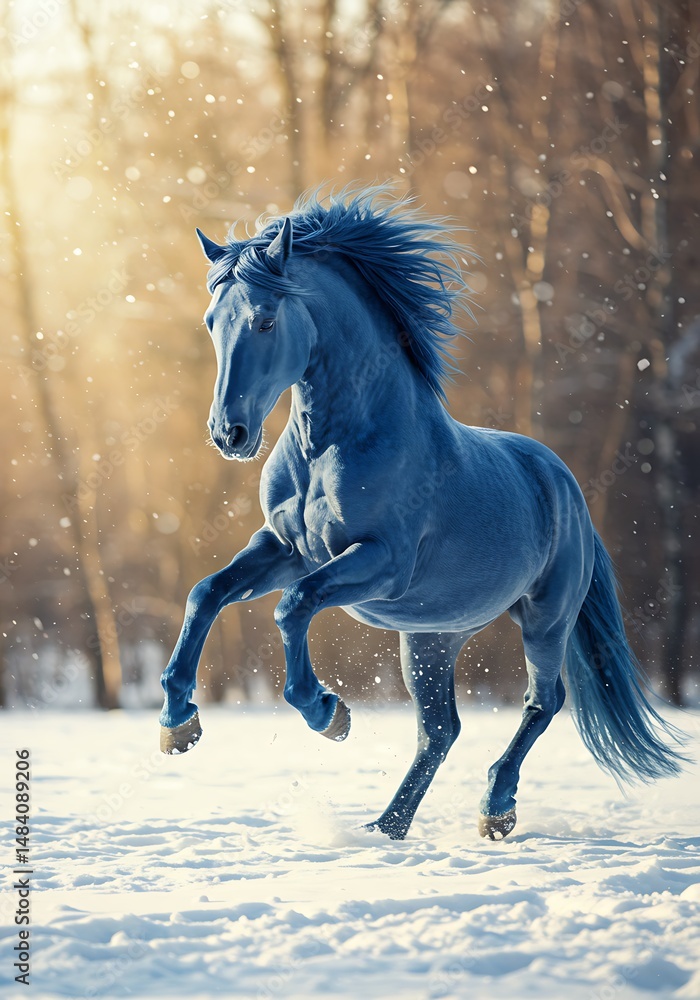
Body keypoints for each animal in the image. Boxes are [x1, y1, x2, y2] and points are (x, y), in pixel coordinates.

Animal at [158, 184, 687, 841]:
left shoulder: (381, 563)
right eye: (212, 322)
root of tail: (565, 485)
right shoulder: (283, 550)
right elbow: (206, 592)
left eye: (265, 319)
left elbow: (294, 606)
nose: (227, 433)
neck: (336, 442)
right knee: (441, 731)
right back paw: (386, 828)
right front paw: (178, 722)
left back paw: (494, 810)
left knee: (543, 702)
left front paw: (327, 712)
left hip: (545, 618)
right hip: (432, 637)